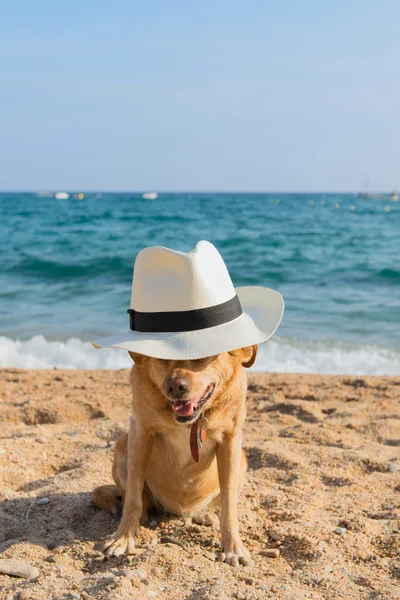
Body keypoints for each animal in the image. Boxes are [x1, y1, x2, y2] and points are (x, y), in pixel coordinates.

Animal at [92, 342, 258, 568]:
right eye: (161, 357)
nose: (175, 387)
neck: (191, 422)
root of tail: (177, 511)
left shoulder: (230, 441)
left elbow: (229, 505)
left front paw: (233, 548)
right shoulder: (139, 432)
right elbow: (133, 500)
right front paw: (123, 539)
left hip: (242, 460)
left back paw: (206, 516)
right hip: (121, 444)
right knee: (136, 499)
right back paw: (142, 519)